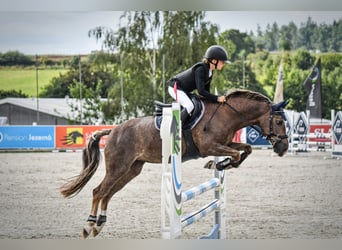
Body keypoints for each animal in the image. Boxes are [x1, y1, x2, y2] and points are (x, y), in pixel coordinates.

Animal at [58, 88, 288, 238]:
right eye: (278, 121)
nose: (283, 148)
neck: (228, 115)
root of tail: (112, 130)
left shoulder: (224, 143)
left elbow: (245, 149)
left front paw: (221, 165)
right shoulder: (209, 147)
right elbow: (237, 155)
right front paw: (219, 165)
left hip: (132, 170)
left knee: (108, 193)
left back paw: (99, 226)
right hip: (118, 167)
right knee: (99, 191)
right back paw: (89, 226)